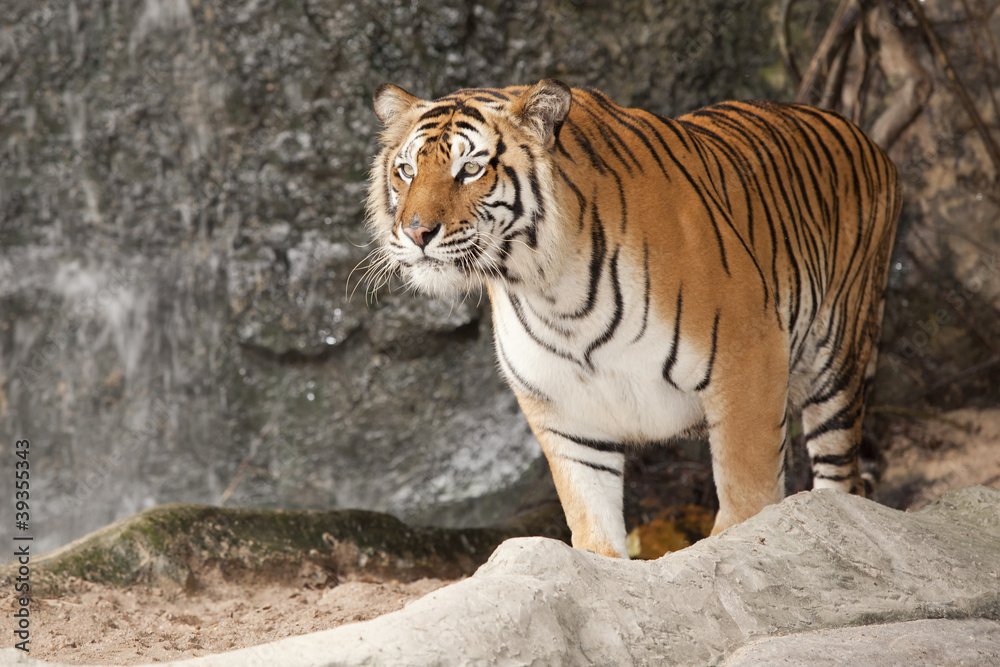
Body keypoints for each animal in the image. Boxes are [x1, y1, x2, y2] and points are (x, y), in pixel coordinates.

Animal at [372, 78, 904, 560]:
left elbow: (745, 502)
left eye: (471, 169)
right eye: (406, 170)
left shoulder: (748, 362)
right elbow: (593, 530)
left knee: (842, 479)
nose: (416, 233)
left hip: (835, 362)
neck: (549, 288)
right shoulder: (566, 414)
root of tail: (862, 134)